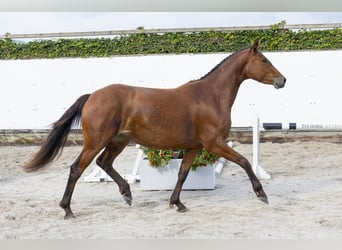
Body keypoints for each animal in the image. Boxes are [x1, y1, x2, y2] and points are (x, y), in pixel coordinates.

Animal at [23, 39, 286, 219]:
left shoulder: (194, 147)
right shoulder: (214, 143)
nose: (282, 80)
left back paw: (127, 194)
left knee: (104, 163)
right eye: (264, 60)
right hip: (96, 141)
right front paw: (262, 194)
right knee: (77, 168)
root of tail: (91, 96)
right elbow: (244, 162)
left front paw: (177, 203)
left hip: (118, 141)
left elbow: (182, 175)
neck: (209, 96)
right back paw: (67, 209)